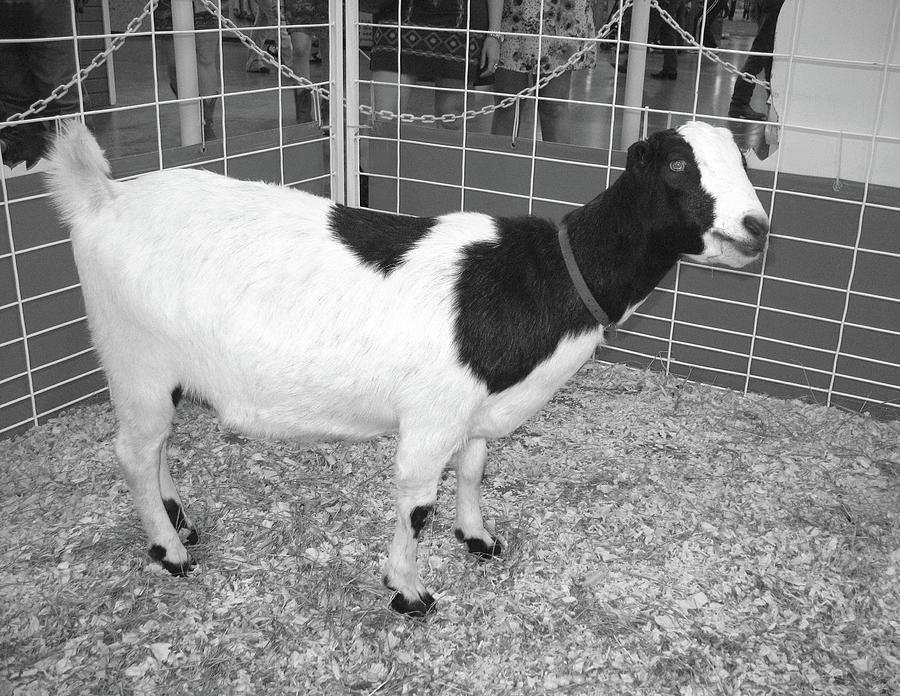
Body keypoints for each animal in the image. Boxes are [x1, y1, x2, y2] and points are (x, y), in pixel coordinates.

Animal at [45, 119, 768, 616]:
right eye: (676, 163)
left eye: (743, 159)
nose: (757, 226)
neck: (543, 277)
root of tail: (104, 196)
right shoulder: (431, 417)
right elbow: (417, 507)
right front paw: (408, 591)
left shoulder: (477, 409)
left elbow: (474, 472)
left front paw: (477, 537)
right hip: (134, 359)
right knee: (133, 452)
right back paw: (167, 549)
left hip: (159, 373)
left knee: (156, 447)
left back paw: (180, 520)